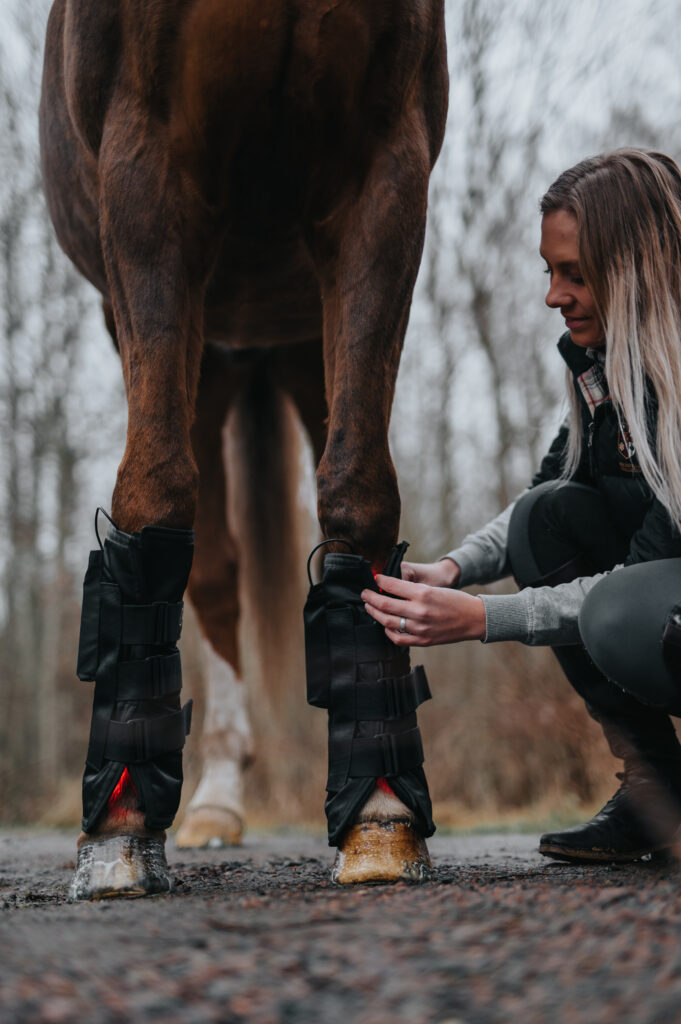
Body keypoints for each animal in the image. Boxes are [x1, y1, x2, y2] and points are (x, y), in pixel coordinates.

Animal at [40, 0, 448, 897]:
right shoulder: (146, 159)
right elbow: (153, 489)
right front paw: (120, 822)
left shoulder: (383, 167)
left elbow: (360, 489)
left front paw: (380, 809)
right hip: (204, 354)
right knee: (215, 569)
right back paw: (210, 798)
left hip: (297, 341)